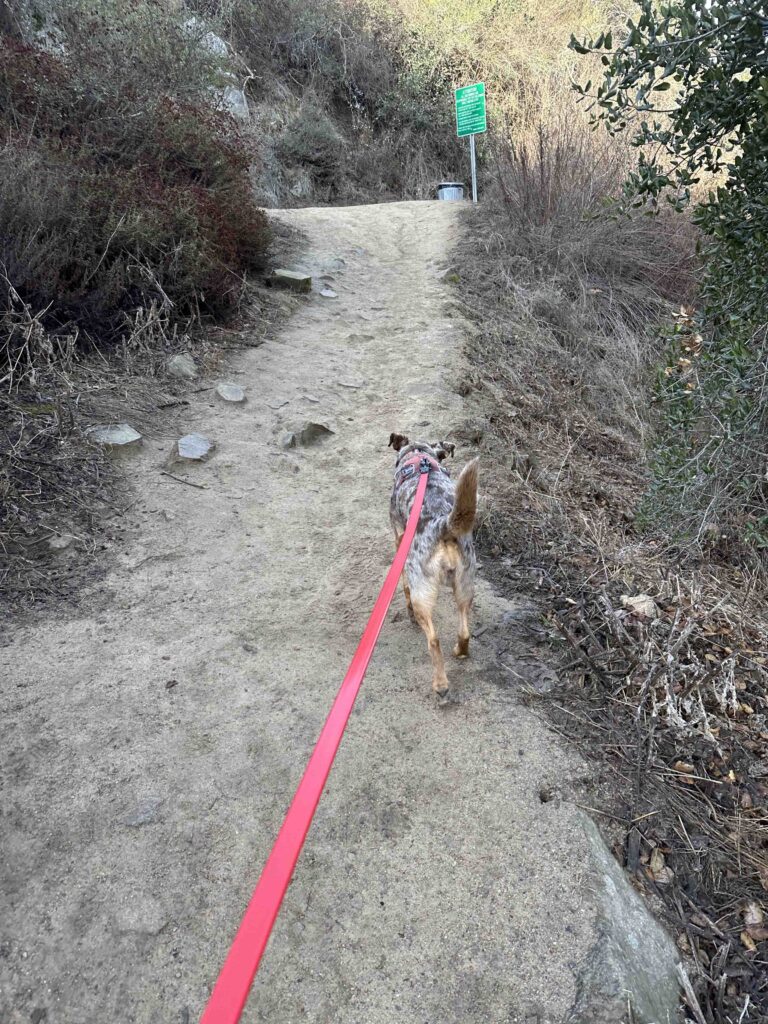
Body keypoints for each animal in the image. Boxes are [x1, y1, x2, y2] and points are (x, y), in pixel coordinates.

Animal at [391, 432, 481, 696]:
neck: (419, 458)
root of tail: (443, 526)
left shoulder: (399, 538)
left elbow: (404, 586)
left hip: (423, 593)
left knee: (433, 640)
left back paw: (440, 685)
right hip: (465, 585)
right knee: (464, 631)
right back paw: (459, 652)